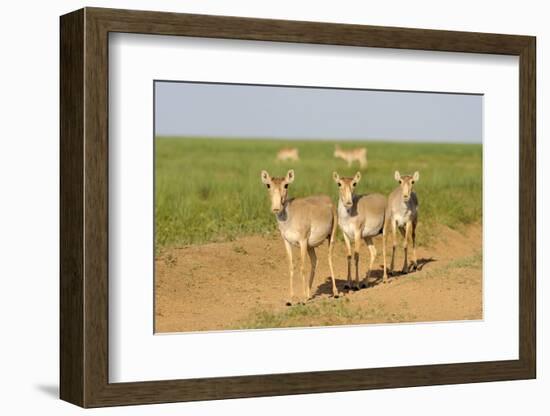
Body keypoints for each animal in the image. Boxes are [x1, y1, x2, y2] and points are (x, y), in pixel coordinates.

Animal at [260, 170, 338, 306]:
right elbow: (291, 267)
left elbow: (302, 267)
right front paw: (291, 299)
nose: (276, 208)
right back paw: (308, 293)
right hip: (311, 246)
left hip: (331, 237)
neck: (290, 216)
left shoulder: (302, 241)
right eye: (268, 185)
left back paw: (335, 292)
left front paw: (302, 299)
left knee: (329, 259)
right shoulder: (286, 242)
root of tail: (328, 200)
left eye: (286, 185)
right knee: (315, 261)